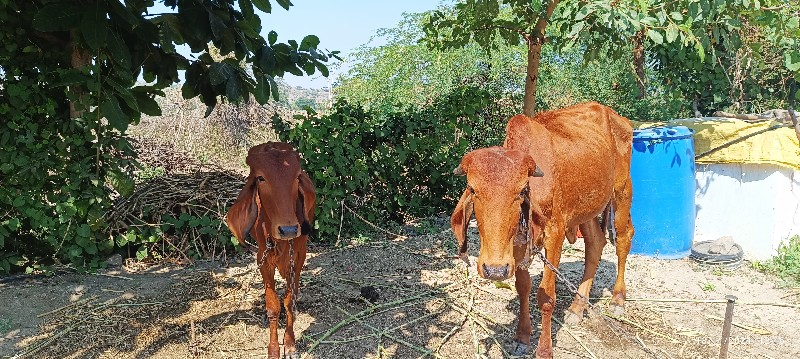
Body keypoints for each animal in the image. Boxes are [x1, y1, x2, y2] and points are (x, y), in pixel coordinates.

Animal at [225, 142, 316, 359]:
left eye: (297, 176)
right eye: (261, 178)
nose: (288, 229)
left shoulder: (298, 256)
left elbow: (289, 301)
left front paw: (290, 345)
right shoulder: (263, 258)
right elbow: (273, 306)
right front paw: (274, 349)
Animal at [454, 102, 636, 359]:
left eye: (521, 190)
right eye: (472, 188)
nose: (494, 270)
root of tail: (617, 117)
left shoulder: (555, 235)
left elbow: (545, 296)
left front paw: (544, 349)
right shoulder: (517, 245)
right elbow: (522, 287)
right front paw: (522, 337)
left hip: (621, 191)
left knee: (623, 238)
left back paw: (618, 300)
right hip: (586, 206)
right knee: (595, 243)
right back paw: (577, 307)